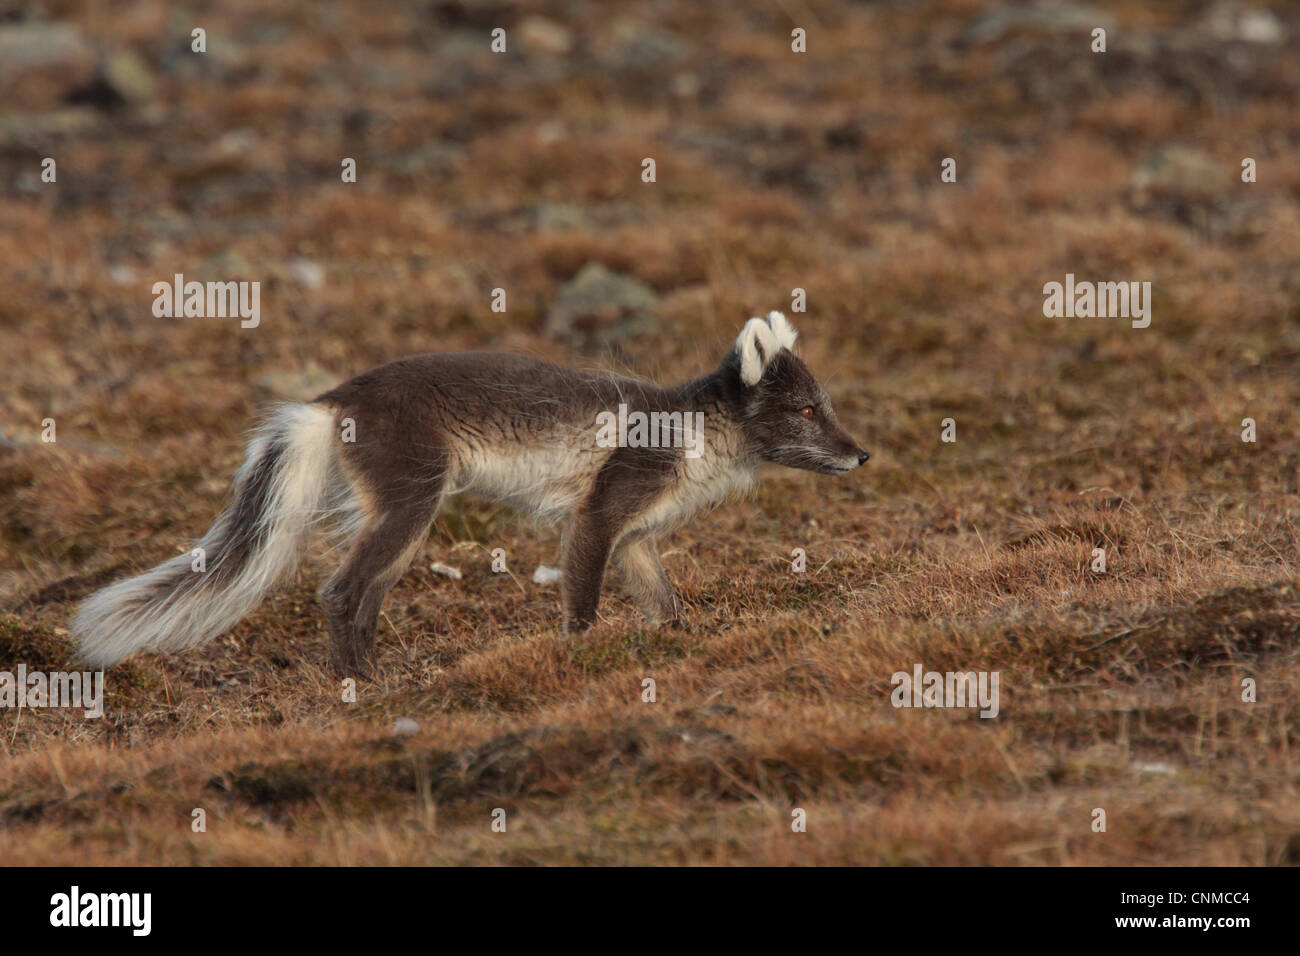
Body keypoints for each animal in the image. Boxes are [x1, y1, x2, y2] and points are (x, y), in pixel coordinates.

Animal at [71, 310, 863, 676]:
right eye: (806, 410)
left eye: (826, 404)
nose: (862, 454)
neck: (699, 434)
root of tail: (331, 398)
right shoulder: (600, 511)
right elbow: (581, 602)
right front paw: (579, 660)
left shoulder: (635, 535)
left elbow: (663, 601)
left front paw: (677, 640)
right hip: (413, 500)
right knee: (339, 590)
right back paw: (356, 684)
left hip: (404, 515)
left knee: (365, 594)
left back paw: (378, 675)